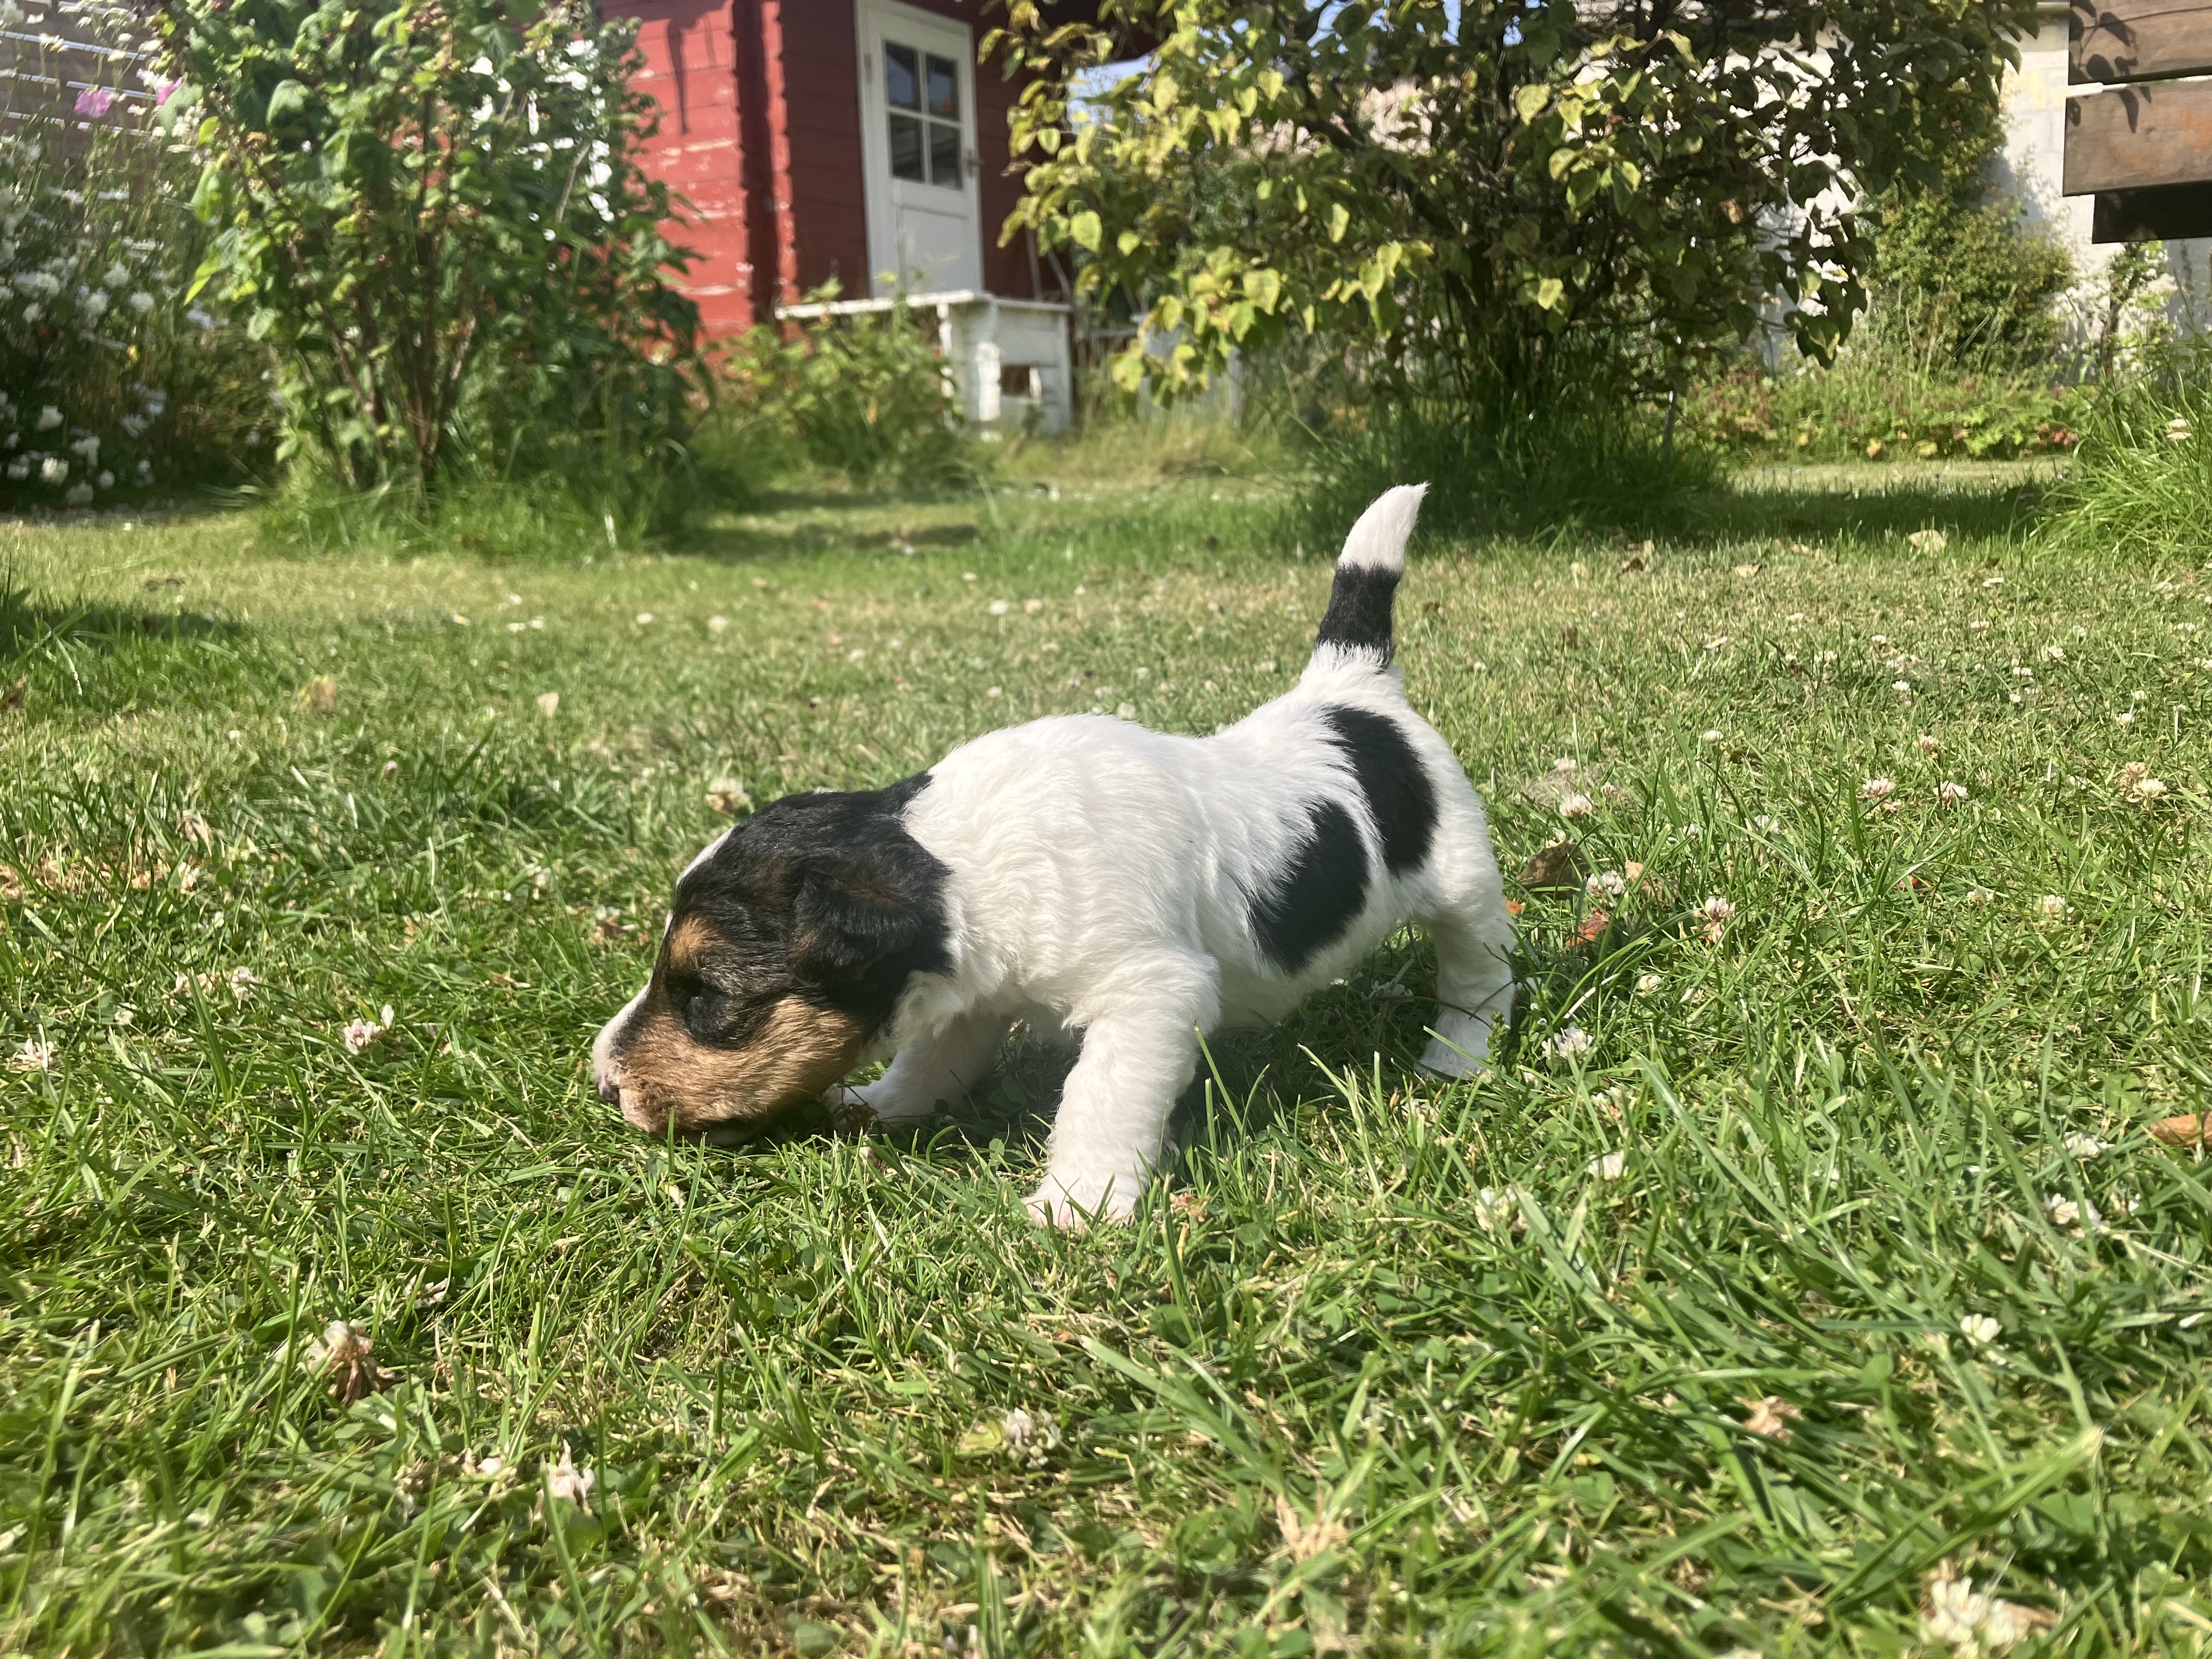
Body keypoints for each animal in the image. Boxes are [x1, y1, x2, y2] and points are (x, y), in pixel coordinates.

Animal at [592, 484, 1516, 1226]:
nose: (603, 1084)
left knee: (1479, 973)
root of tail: (1352, 688)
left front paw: (1079, 1206)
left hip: (1464, 882)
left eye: (707, 996)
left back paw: (1459, 1055)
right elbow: (932, 1057)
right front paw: (884, 1105)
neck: (955, 866)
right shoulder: (967, 993)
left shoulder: (1150, 994)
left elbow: (1097, 1099)